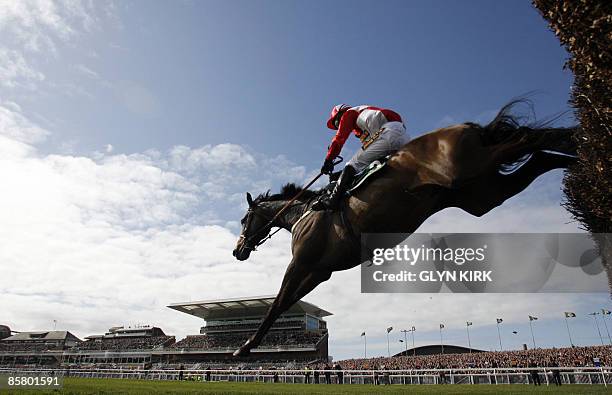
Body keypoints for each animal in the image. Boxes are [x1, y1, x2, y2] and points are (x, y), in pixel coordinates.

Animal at [232, 100, 576, 358]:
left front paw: (244, 347)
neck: (303, 214)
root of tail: (467, 127)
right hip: (482, 194)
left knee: (531, 139)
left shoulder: (302, 262)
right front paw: (249, 344)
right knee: (540, 156)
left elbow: (277, 303)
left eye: (243, 220)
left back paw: (578, 142)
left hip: (474, 167)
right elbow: (285, 303)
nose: (237, 250)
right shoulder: (319, 270)